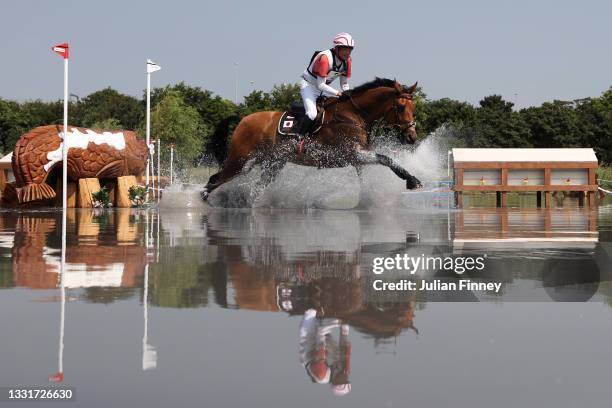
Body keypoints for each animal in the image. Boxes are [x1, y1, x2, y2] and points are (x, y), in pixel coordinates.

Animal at [203, 77, 424, 200]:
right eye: (401, 107)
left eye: (413, 107)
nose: (412, 137)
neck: (354, 115)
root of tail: (243, 119)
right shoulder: (353, 154)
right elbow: (386, 159)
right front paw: (412, 180)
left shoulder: (359, 157)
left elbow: (368, 175)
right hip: (241, 161)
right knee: (215, 180)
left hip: (272, 163)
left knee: (255, 188)